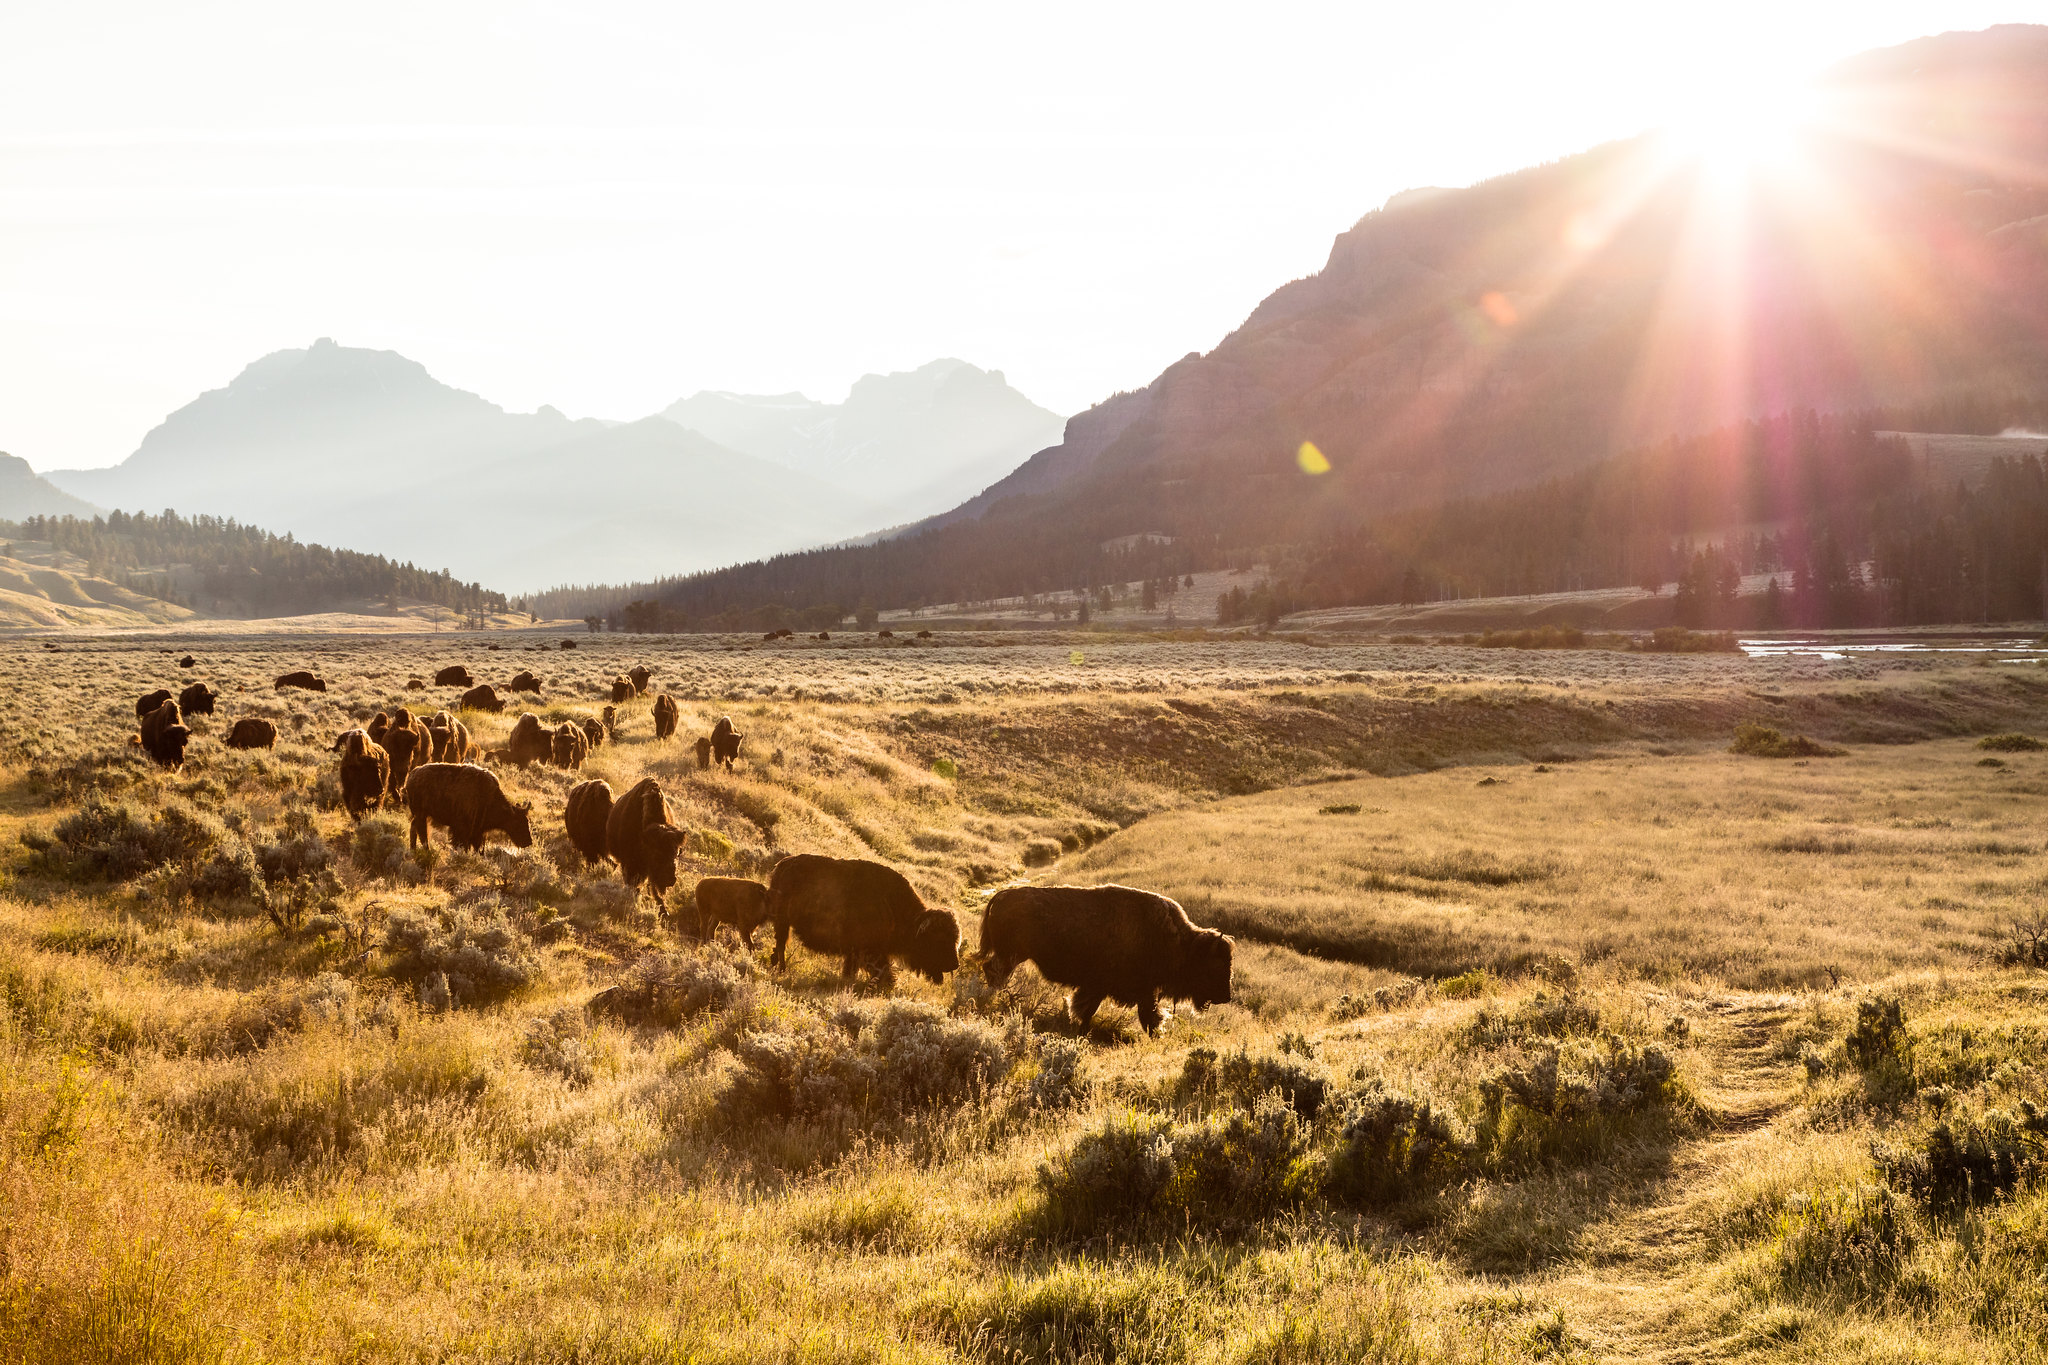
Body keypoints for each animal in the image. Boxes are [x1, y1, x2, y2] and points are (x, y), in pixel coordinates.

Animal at [403, 765, 532, 847]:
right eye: (518, 822)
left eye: (526, 821)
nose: (528, 842)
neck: (489, 798)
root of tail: (411, 775)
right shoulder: (462, 830)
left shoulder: (477, 831)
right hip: (421, 814)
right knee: (421, 833)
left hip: (421, 815)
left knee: (414, 828)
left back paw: (414, 849)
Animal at [770, 855, 958, 982]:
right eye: (939, 939)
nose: (954, 964)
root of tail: (782, 864)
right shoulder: (868, 950)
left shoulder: (856, 951)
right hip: (782, 922)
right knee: (781, 944)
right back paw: (782, 970)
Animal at [974, 888, 1228, 1035]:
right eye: (1213, 966)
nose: (1226, 997)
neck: (1179, 943)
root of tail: (1001, 895)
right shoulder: (1125, 988)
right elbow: (1144, 1015)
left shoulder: (1117, 989)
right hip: (1011, 955)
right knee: (994, 971)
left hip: (1012, 955)